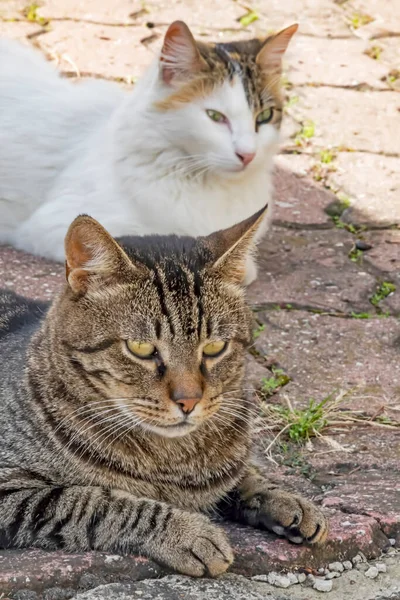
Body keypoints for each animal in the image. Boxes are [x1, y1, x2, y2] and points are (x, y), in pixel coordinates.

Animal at [0, 207, 326, 576]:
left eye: (214, 347)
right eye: (141, 348)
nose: (189, 400)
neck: (172, 459)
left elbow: (243, 475)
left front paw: (286, 499)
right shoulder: (11, 490)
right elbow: (96, 502)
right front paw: (188, 532)